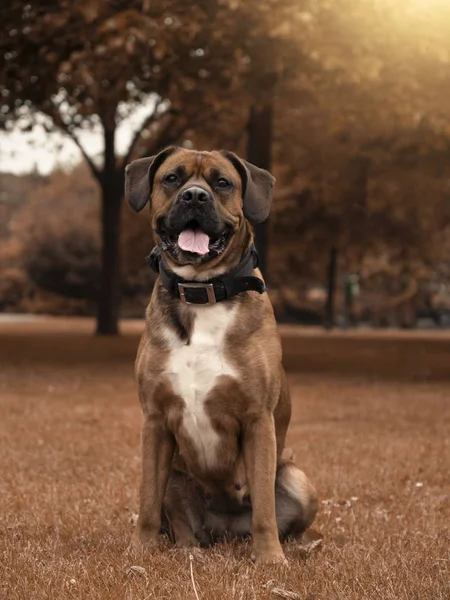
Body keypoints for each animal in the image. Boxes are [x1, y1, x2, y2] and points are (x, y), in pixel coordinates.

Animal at [125, 145, 318, 564]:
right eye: (172, 178)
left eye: (223, 183)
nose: (195, 196)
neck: (202, 292)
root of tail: (226, 530)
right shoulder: (154, 423)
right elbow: (147, 501)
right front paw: (140, 550)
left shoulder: (259, 420)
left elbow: (264, 509)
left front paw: (270, 558)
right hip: (176, 474)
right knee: (181, 524)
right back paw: (187, 550)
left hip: (298, 480)